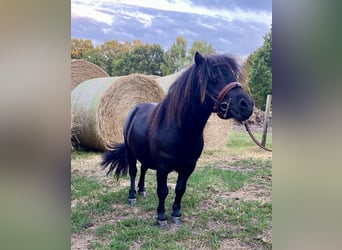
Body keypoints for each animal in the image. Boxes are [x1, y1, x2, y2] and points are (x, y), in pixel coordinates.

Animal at [101, 52, 254, 227]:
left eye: (233, 76)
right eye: (213, 78)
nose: (247, 105)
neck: (182, 132)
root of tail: (135, 110)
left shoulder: (189, 167)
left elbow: (180, 189)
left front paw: (176, 213)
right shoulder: (162, 167)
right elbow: (163, 191)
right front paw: (161, 216)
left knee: (144, 169)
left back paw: (142, 190)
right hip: (131, 152)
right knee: (133, 172)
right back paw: (132, 195)